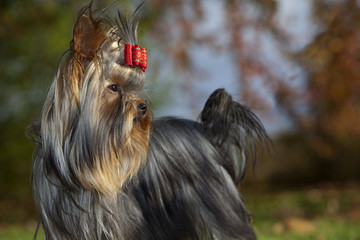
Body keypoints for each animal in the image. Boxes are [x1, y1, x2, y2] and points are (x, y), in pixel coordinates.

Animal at [28, 3, 268, 240]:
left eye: (135, 88)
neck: (80, 173)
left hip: (216, 201)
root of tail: (206, 132)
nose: (143, 107)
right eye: (113, 87)